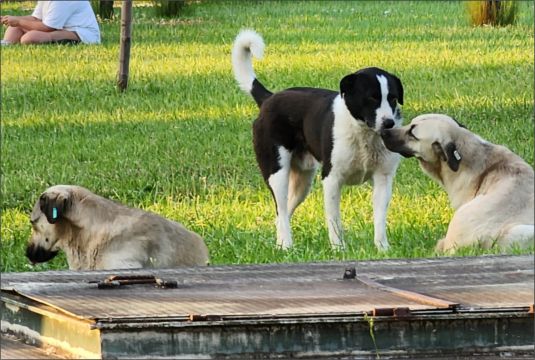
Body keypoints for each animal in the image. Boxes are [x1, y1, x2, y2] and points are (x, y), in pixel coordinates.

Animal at [232, 29, 404, 250]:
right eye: (371, 98)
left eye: (393, 98)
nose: (389, 123)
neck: (363, 134)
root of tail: (269, 98)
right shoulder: (332, 179)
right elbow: (334, 219)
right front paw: (338, 248)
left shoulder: (384, 178)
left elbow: (380, 219)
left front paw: (382, 248)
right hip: (276, 171)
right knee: (281, 209)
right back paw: (286, 244)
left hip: (302, 181)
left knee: (282, 214)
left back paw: (280, 244)